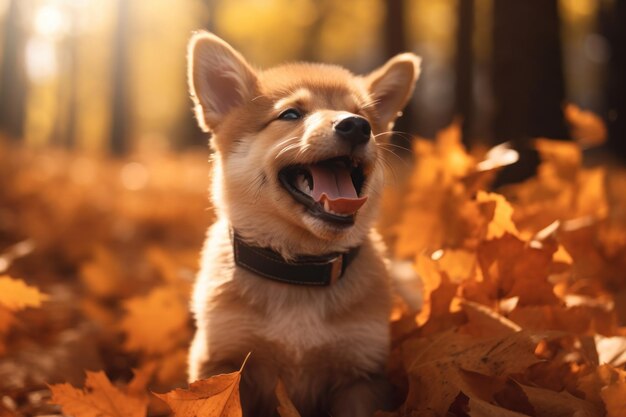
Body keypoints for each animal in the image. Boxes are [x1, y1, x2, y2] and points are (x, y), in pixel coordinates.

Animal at [185, 30, 420, 414]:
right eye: (291, 114)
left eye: (362, 115)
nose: (356, 126)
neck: (300, 271)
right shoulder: (222, 360)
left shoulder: (361, 375)